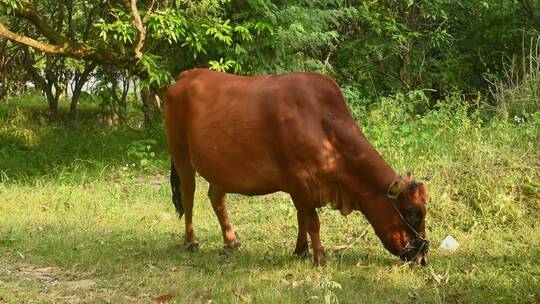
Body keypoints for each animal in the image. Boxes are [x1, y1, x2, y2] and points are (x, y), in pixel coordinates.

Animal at [167, 68, 428, 266]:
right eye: (413, 213)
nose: (423, 256)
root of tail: (186, 75)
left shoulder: (302, 188)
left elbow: (302, 217)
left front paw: (301, 250)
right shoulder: (298, 180)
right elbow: (311, 219)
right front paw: (320, 256)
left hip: (220, 168)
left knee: (216, 198)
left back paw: (231, 242)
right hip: (180, 154)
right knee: (188, 195)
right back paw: (191, 241)